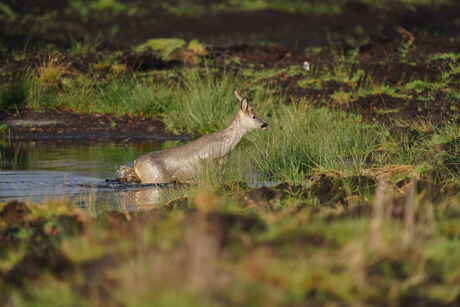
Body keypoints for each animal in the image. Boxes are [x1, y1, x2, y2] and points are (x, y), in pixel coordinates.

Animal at [118, 90, 268, 184]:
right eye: (254, 116)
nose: (265, 124)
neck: (226, 145)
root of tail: (136, 163)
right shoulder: (207, 162)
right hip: (155, 177)